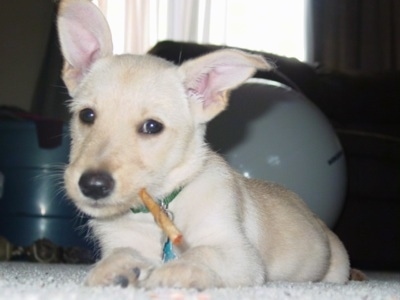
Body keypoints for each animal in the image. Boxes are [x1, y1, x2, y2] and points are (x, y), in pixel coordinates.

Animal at [57, 0, 350, 290]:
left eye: (152, 127)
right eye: (87, 115)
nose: (93, 186)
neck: (158, 207)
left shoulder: (239, 254)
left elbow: (201, 252)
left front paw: (173, 272)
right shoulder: (121, 240)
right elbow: (119, 253)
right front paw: (114, 268)